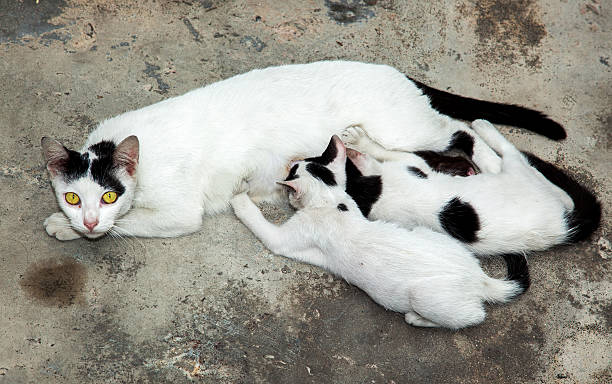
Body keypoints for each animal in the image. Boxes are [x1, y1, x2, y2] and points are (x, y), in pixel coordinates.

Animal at [40, 60, 568, 240]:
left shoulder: (179, 213)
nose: (88, 221)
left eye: (109, 195)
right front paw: (70, 225)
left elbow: (130, 224)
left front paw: (67, 230)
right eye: (74, 197)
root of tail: (395, 71)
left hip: (409, 127)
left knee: (460, 132)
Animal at [231, 136, 532, 328]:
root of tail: (480, 277)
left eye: (294, 169)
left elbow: (257, 221)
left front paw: (238, 198)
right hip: (425, 232)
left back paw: (417, 318)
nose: (291, 162)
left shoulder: (284, 239)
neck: (330, 199)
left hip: (427, 297)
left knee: (474, 317)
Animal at [340, 118, 604, 254]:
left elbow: (385, 152)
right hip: (516, 174)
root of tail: (564, 228)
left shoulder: (414, 167)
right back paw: (483, 127)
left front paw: (360, 141)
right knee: (510, 157)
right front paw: (361, 143)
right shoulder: (415, 168)